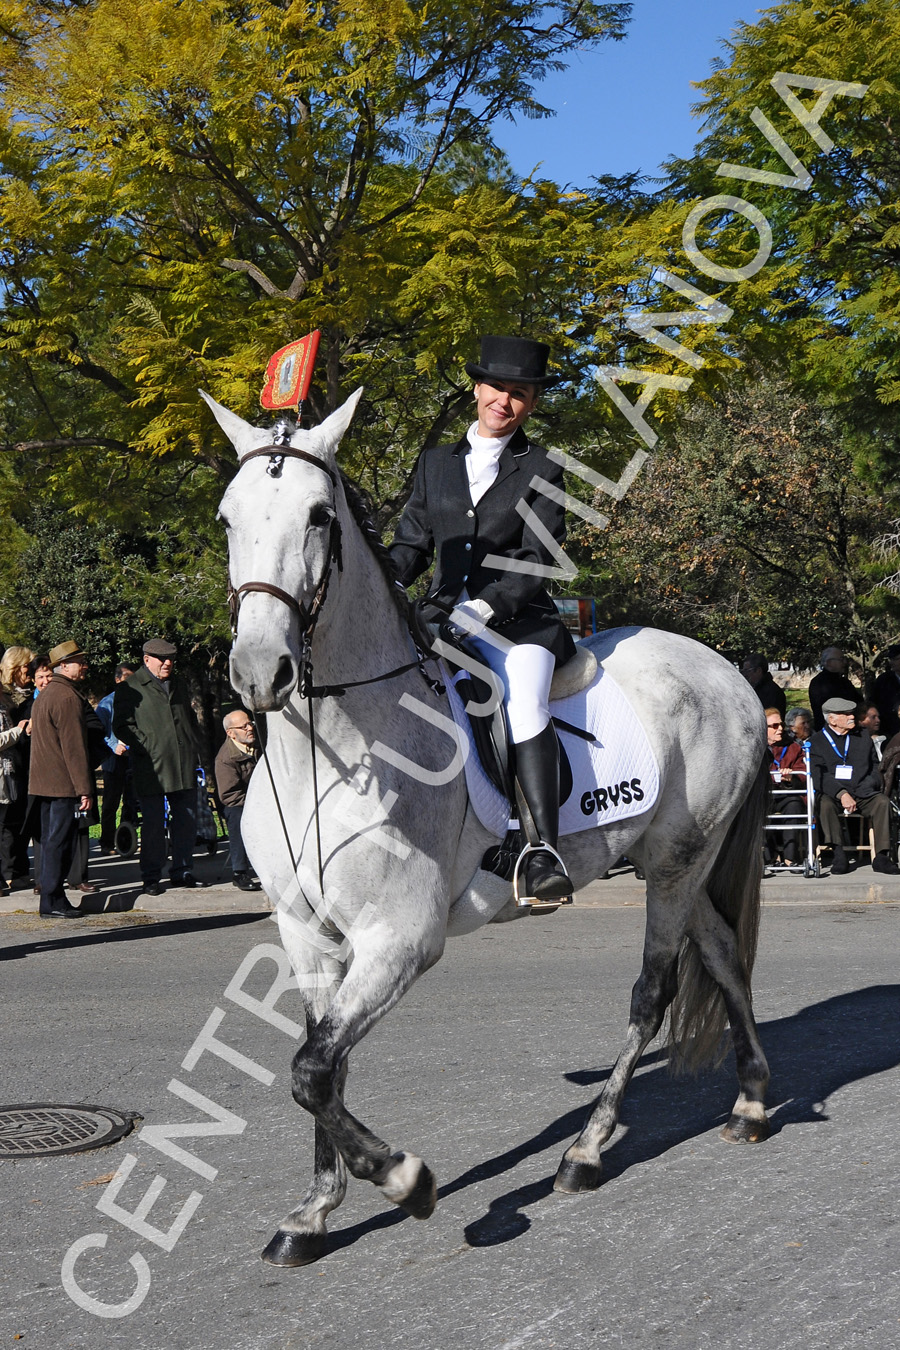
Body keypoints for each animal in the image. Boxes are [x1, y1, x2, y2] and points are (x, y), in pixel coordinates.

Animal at [206, 388, 777, 1263]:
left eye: (318, 516)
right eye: (228, 517)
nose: (259, 673)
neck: (328, 757)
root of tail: (726, 671)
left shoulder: (401, 938)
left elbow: (312, 1070)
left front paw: (406, 1180)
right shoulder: (305, 934)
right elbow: (320, 1059)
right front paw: (314, 1211)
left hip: (679, 864)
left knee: (655, 992)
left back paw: (585, 1151)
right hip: (677, 860)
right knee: (720, 954)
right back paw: (748, 1103)